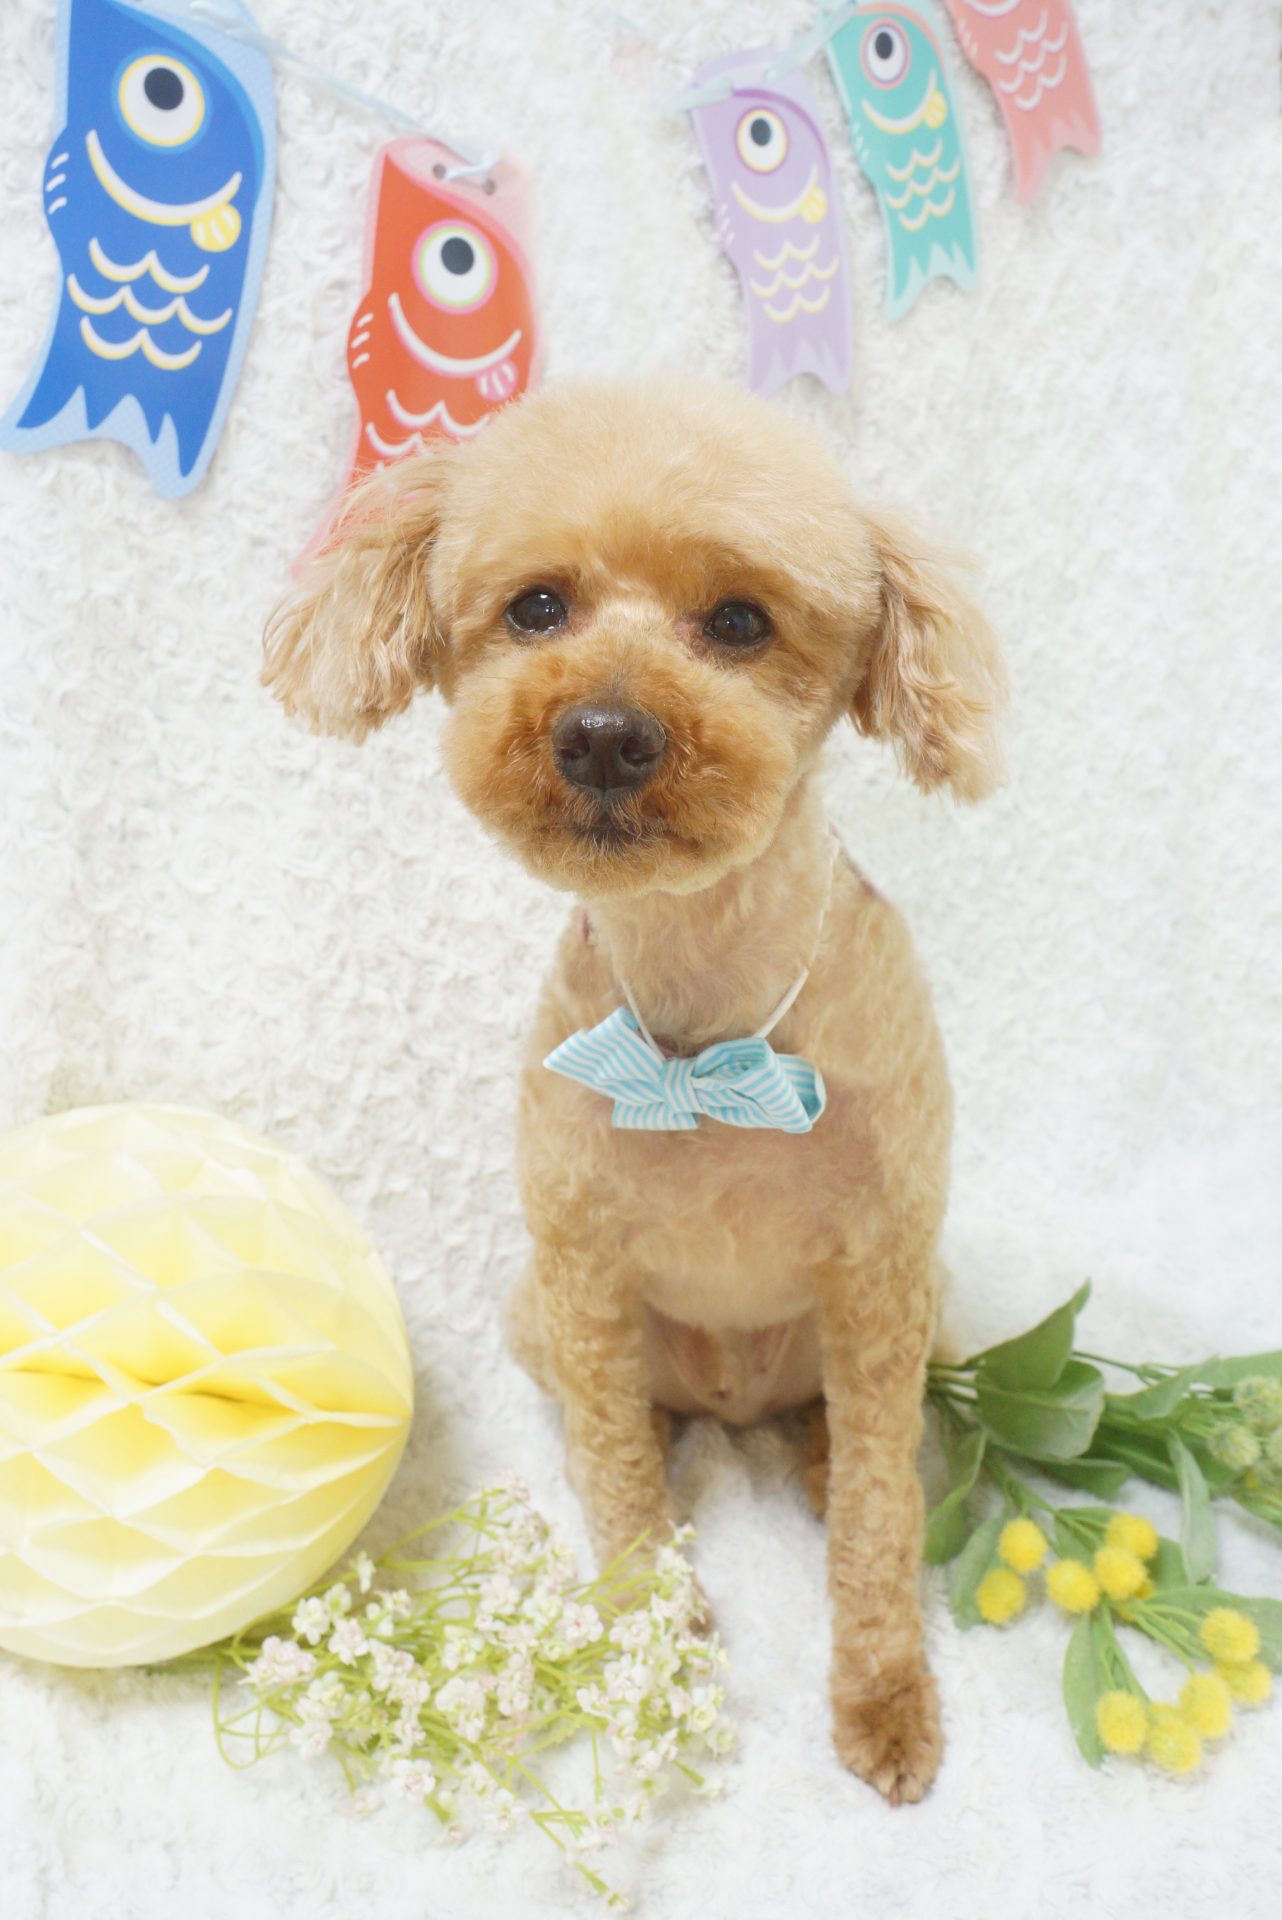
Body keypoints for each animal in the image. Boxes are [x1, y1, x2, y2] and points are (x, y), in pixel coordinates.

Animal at [263, 378, 1005, 1805]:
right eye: (537, 607)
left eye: (740, 622)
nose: (604, 732)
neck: (703, 1031)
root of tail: (730, 1401)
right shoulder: (584, 1267)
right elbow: (609, 1465)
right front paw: (649, 1638)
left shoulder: (886, 1267)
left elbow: (883, 1513)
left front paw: (884, 1703)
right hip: (532, 1313)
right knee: (617, 1423)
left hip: (925, 1309)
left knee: (845, 1429)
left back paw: (812, 1455)